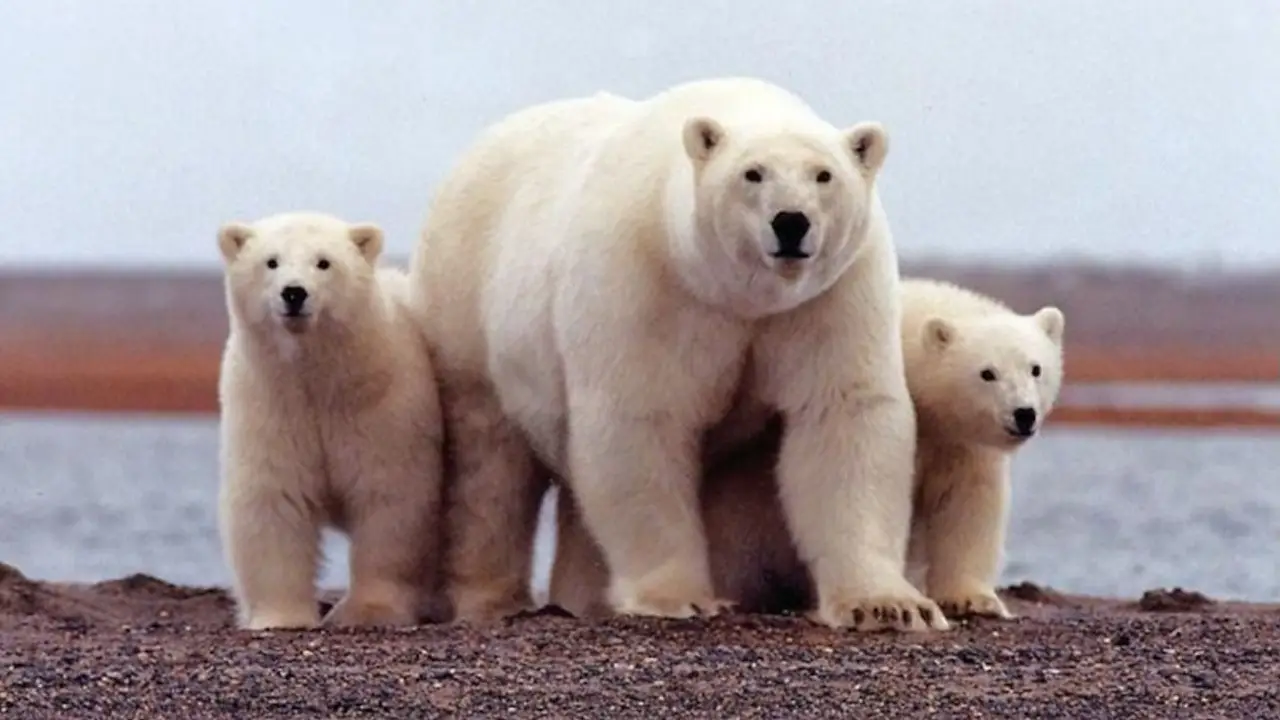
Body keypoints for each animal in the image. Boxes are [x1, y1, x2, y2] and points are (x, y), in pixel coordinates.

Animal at [216, 211, 445, 631]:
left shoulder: (382, 407)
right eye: (271, 261)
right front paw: (281, 617)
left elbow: (390, 499)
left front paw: (370, 611)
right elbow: (274, 499)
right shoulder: (270, 406)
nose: (294, 293)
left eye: (324, 262)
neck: (320, 380)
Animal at [409, 76, 947, 632]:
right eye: (753, 173)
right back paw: (491, 599)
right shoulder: (649, 283)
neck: (739, 295)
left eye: (824, 175)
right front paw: (678, 597)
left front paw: (888, 605)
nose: (791, 222)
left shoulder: (829, 296)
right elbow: (641, 421)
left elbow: (843, 415)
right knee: (490, 465)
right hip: (468, 308)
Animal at [547, 277, 1066, 622]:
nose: (1023, 414)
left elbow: (968, 504)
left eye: (1036, 368)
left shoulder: (959, 444)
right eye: (987, 373)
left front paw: (973, 598)